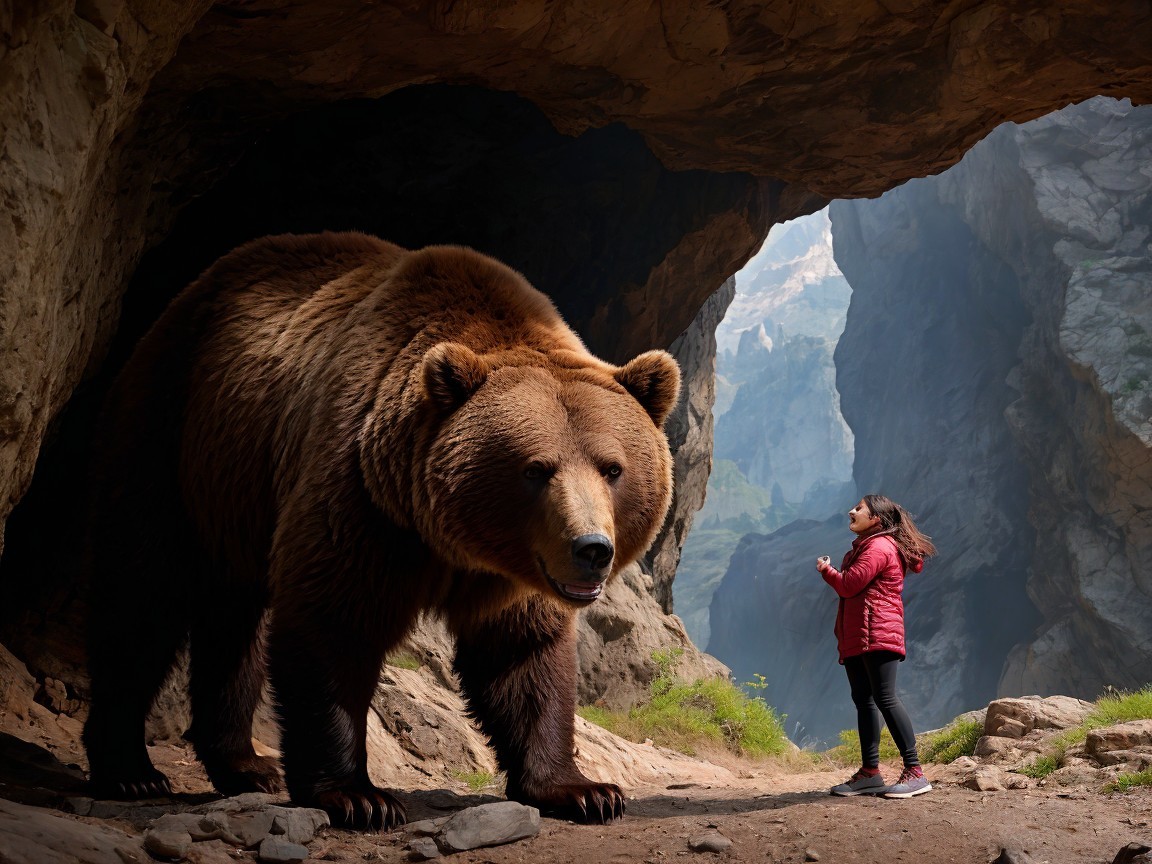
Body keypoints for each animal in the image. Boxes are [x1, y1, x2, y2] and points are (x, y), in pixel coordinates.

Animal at [82, 231, 681, 831]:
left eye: (612, 468)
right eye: (536, 469)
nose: (591, 549)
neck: (451, 539)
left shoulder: (515, 572)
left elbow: (524, 654)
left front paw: (583, 790)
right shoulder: (361, 500)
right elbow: (334, 623)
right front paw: (358, 796)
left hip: (236, 489)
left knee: (232, 620)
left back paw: (244, 764)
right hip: (173, 432)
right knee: (143, 595)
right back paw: (130, 770)